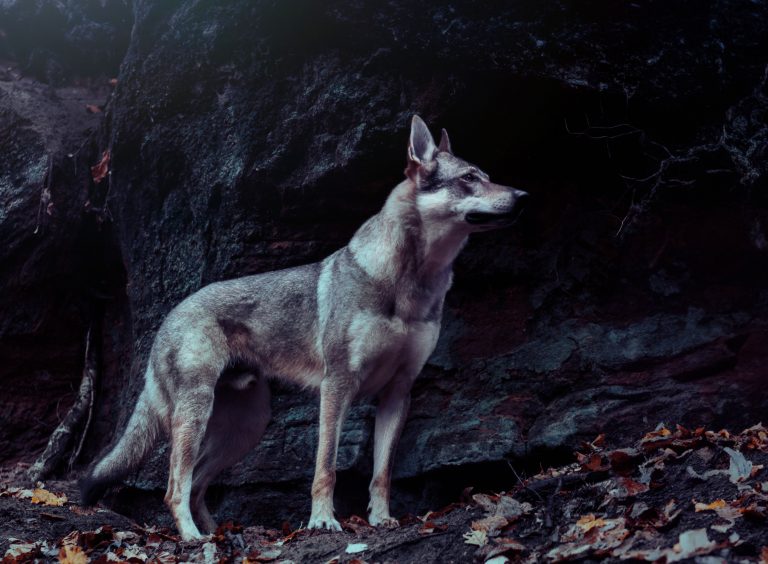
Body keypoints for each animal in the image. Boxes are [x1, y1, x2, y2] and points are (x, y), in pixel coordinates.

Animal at [80, 115, 528, 541]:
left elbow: (381, 473)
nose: (524, 197)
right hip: (198, 416)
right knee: (175, 487)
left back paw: (218, 534)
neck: (409, 283)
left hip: (246, 427)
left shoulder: (398, 392)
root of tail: (170, 316)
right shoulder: (337, 387)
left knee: (197, 485)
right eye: (469, 178)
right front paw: (323, 522)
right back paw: (192, 538)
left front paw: (381, 520)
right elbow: (325, 468)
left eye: (486, 175)